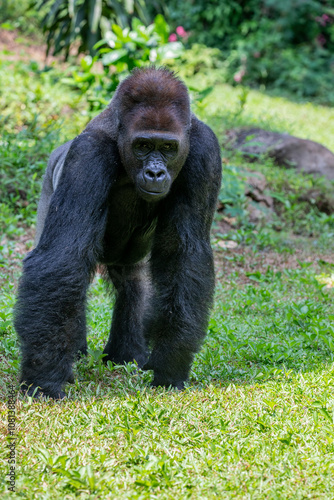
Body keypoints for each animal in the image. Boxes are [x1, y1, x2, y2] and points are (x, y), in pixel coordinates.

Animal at [13, 65, 222, 398]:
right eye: (143, 146)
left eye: (168, 147)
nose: (155, 172)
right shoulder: (87, 153)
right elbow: (62, 256)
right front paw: (44, 378)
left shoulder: (205, 149)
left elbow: (184, 253)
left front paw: (171, 362)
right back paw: (75, 352)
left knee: (133, 283)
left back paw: (126, 353)